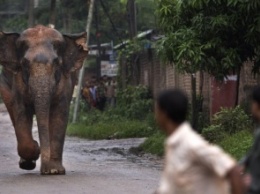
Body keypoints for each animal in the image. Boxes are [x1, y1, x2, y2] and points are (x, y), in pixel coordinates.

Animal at [0, 25, 88, 175]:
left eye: (57, 63)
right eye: (24, 64)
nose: (45, 171)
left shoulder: (65, 82)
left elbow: (59, 115)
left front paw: (54, 170)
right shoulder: (17, 81)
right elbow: (21, 112)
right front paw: (36, 150)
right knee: (13, 113)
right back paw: (27, 162)